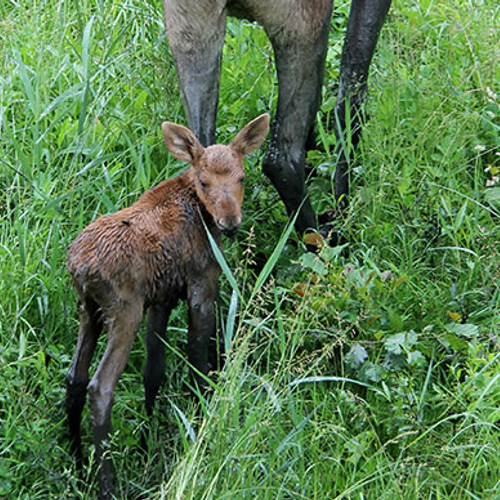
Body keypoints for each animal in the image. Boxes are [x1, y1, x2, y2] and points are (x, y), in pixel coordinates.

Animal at [66, 113, 272, 500]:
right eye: (204, 181)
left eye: (241, 177)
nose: (230, 223)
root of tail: (80, 267)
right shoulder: (202, 283)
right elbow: (200, 364)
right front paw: (203, 423)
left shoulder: (160, 298)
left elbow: (154, 372)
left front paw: (148, 443)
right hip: (124, 310)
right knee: (100, 387)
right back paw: (106, 485)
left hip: (88, 309)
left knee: (74, 377)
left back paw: (76, 463)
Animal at [163, 0, 390, 235]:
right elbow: (351, 89)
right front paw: (342, 208)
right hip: (303, 27)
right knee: (281, 160)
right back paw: (328, 237)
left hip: (191, 32)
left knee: (201, 151)